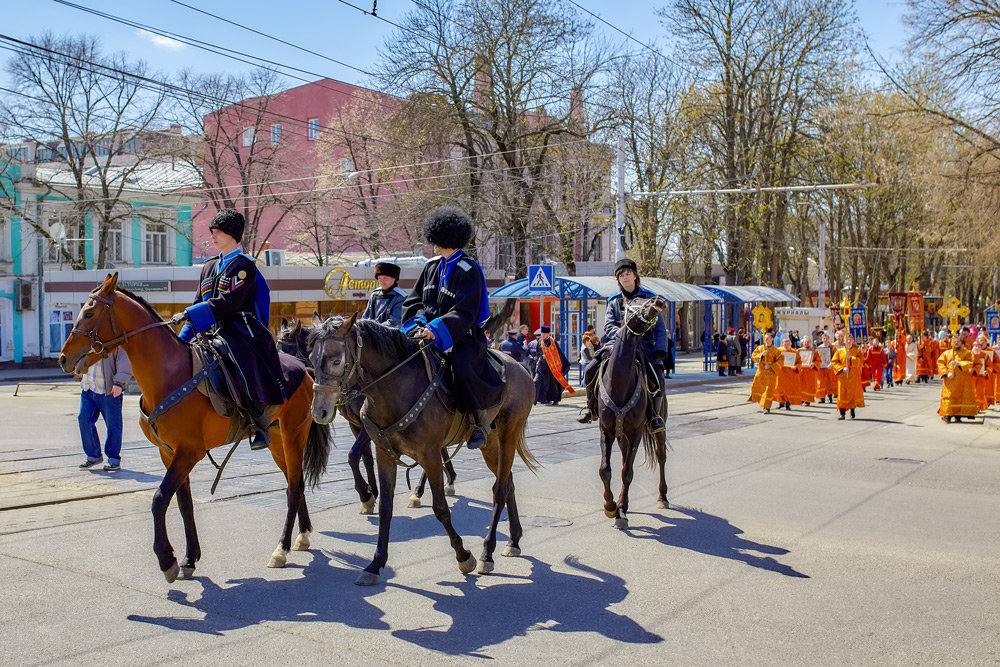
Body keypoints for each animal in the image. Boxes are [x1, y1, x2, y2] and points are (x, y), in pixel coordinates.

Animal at [58, 274, 330, 580]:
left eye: (89, 313)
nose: (63, 358)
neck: (168, 375)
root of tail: (305, 370)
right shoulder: (169, 453)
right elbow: (183, 502)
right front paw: (189, 558)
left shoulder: (189, 451)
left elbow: (159, 498)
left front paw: (167, 558)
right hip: (277, 441)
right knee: (294, 482)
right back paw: (302, 535)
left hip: (293, 435)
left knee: (294, 486)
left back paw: (281, 548)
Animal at [276, 318, 458, 512]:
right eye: (311, 357)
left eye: (290, 355)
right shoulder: (356, 425)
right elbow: (366, 458)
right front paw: (373, 491)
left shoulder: (367, 427)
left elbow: (353, 455)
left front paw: (366, 494)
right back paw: (449, 478)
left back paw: (420, 491)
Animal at [310, 318, 540, 584]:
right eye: (311, 357)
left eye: (337, 360)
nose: (319, 411)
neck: (396, 389)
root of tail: (521, 368)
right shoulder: (384, 454)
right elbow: (386, 509)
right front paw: (375, 563)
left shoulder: (430, 455)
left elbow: (440, 508)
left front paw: (464, 556)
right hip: (491, 442)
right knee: (508, 482)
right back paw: (513, 540)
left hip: (508, 434)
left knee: (499, 490)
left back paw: (487, 553)